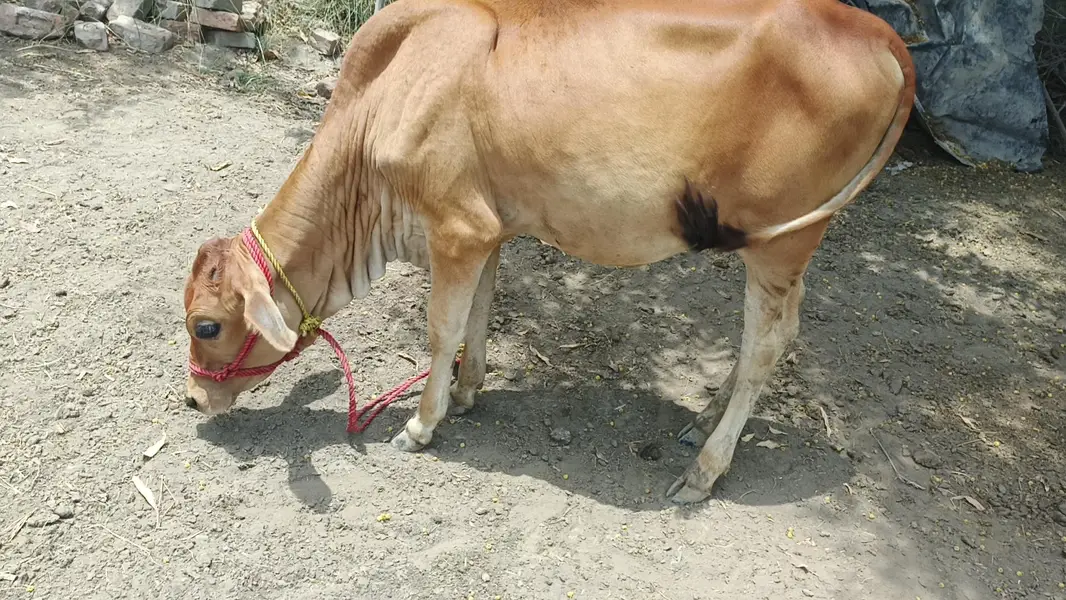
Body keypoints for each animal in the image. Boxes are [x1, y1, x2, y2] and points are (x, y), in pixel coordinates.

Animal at [181, 0, 915, 504]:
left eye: (206, 326)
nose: (191, 400)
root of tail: (875, 31)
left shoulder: (456, 229)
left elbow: (441, 327)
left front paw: (422, 424)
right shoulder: (487, 232)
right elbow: (479, 314)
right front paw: (467, 390)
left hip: (782, 240)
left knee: (767, 343)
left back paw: (706, 468)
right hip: (784, 247)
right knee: (773, 334)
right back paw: (702, 422)